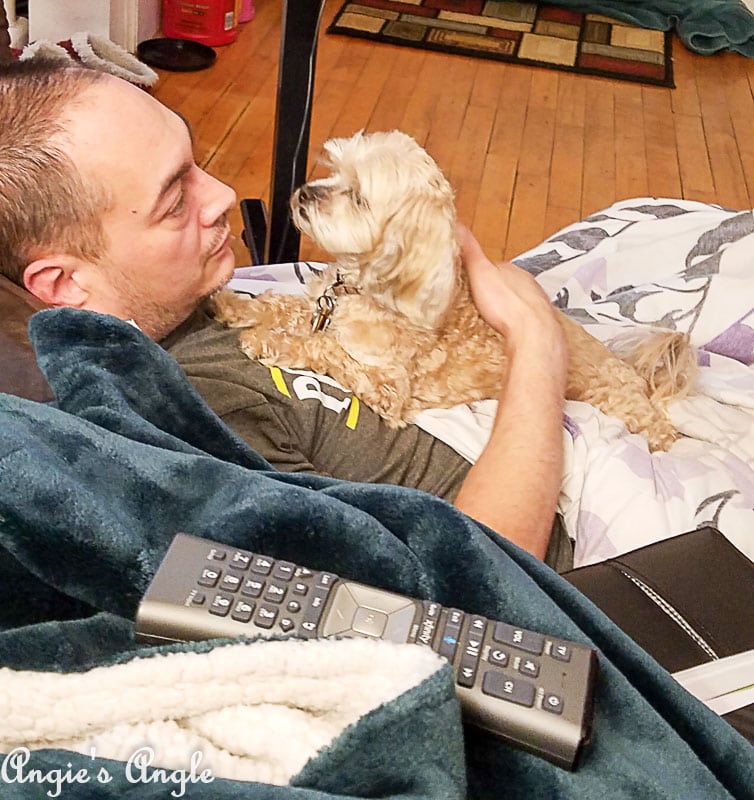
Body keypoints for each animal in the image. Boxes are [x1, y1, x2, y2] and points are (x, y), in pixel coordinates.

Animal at [212, 131, 692, 450]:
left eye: (360, 198)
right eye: (334, 172)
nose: (304, 194)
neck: (360, 287)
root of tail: (639, 380)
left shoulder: (389, 389)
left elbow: (325, 349)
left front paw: (268, 340)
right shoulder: (318, 307)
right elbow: (281, 305)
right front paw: (234, 304)